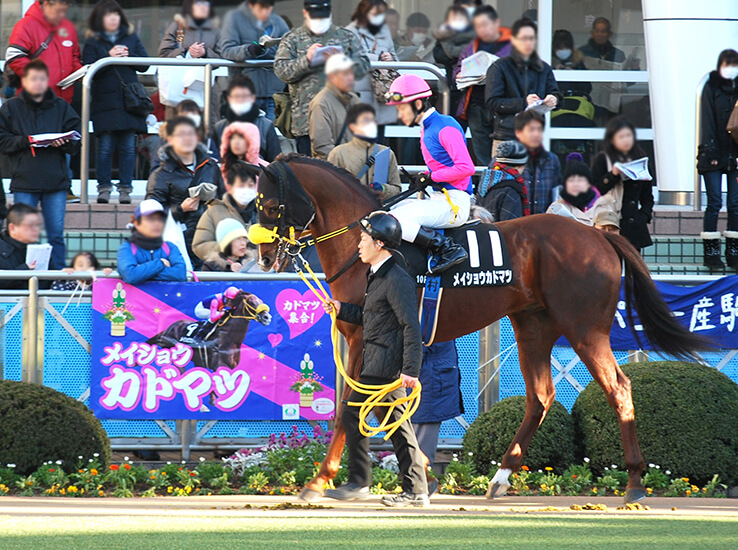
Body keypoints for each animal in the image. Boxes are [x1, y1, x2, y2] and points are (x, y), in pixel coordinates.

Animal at [253, 154, 708, 504]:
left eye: (269, 206)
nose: (263, 257)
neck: (364, 251)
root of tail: (598, 235)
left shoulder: (367, 338)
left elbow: (353, 407)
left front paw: (322, 480)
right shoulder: (367, 340)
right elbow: (374, 406)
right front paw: (410, 474)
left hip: (585, 329)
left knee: (618, 388)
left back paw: (634, 482)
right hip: (533, 328)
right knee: (541, 397)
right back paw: (501, 478)